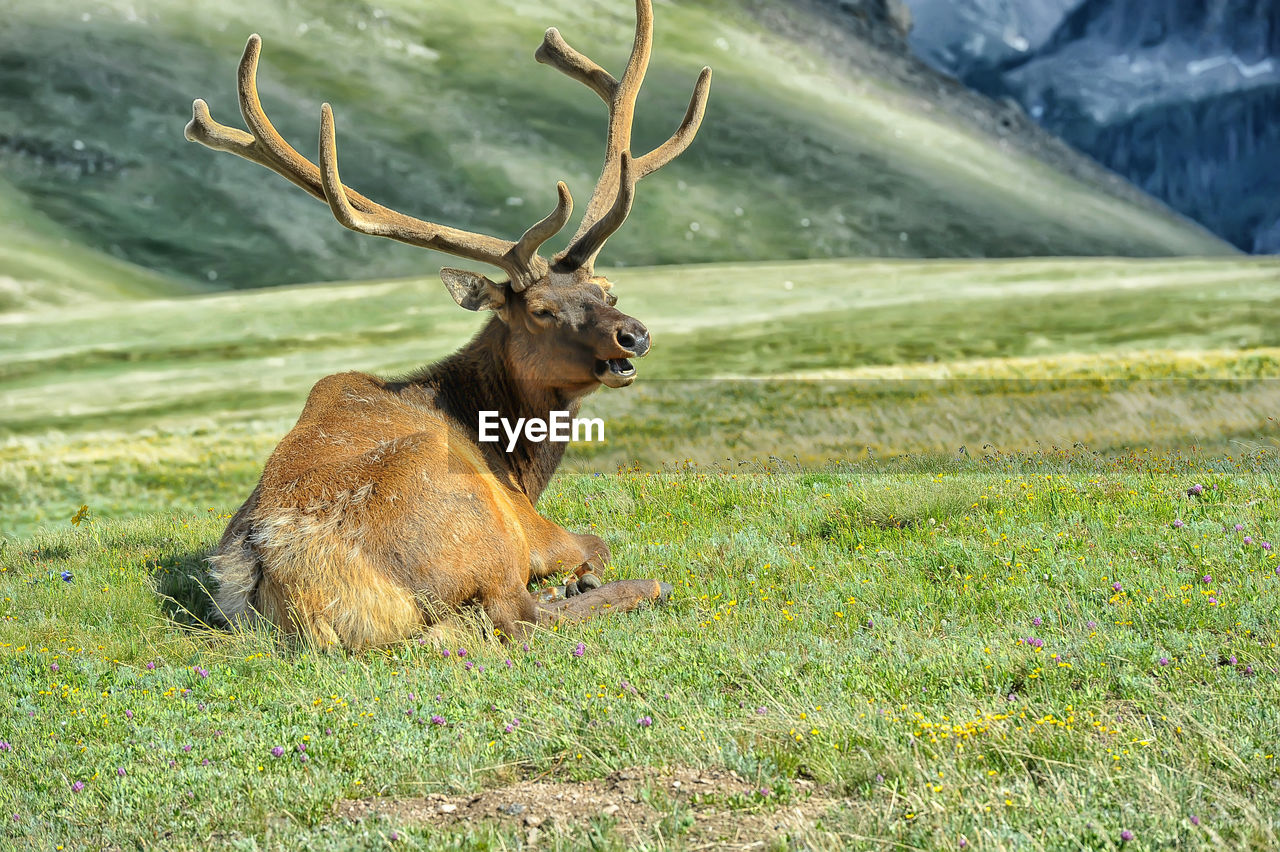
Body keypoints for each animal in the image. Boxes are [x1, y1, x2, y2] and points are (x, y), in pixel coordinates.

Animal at [186, 3, 716, 647]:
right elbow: (597, 543)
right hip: (482, 531)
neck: (516, 460)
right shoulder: (532, 526)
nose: (633, 334)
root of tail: (287, 575)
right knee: (520, 620)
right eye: (540, 311)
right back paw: (625, 589)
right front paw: (583, 576)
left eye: (606, 291)